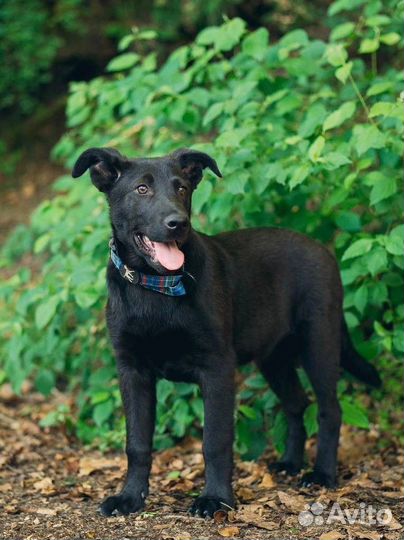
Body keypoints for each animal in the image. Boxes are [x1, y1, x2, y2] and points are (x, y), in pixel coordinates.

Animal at [72, 146, 378, 516]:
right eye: (141, 189)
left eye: (181, 188)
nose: (178, 223)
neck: (156, 287)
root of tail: (324, 251)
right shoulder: (132, 370)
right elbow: (137, 443)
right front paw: (130, 497)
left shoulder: (216, 367)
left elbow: (215, 442)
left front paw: (215, 498)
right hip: (273, 357)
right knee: (296, 404)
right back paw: (290, 463)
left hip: (319, 343)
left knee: (329, 410)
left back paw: (321, 474)